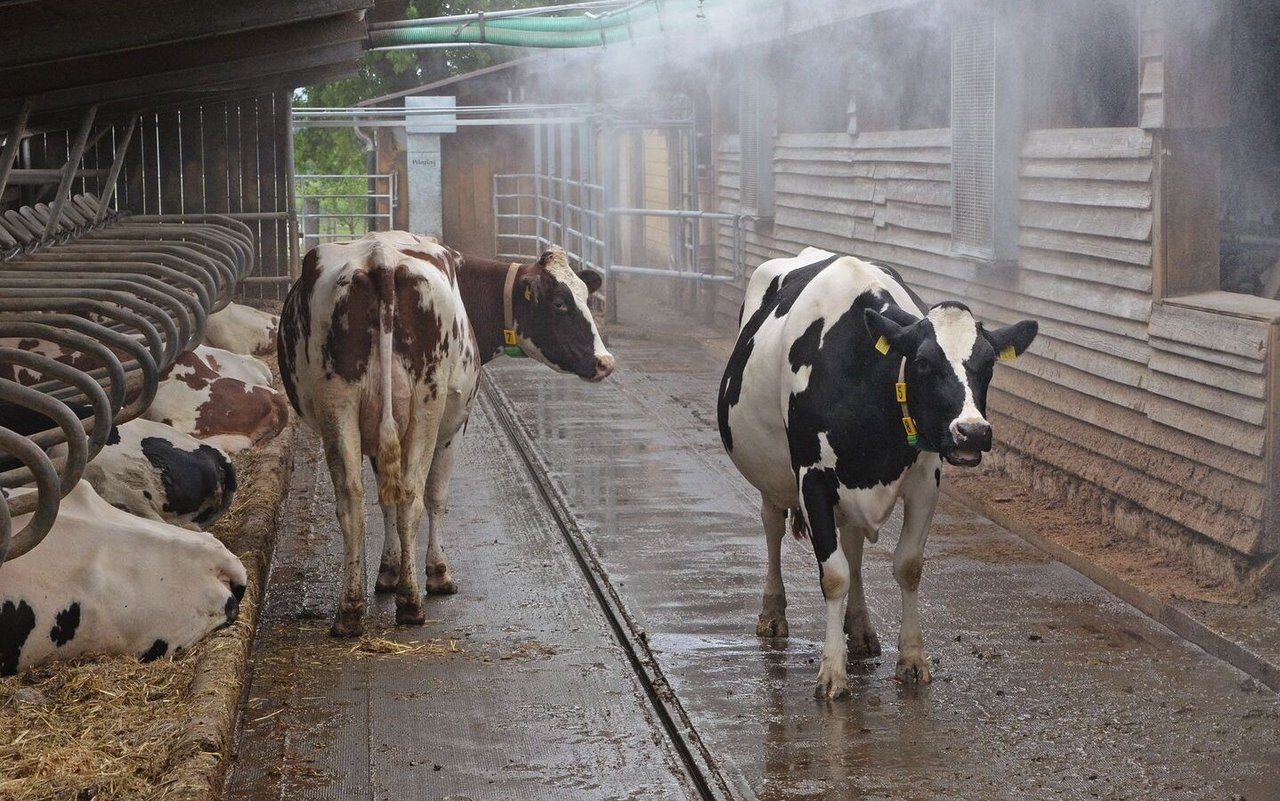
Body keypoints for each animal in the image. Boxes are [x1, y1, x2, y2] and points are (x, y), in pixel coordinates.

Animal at [279, 230, 614, 637]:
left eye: (585, 297)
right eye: (561, 304)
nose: (605, 362)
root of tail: (381, 258)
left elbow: (384, 501)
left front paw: (388, 570)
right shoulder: (454, 426)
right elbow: (436, 497)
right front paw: (437, 573)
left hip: (338, 404)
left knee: (352, 500)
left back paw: (350, 610)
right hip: (426, 407)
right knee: (412, 496)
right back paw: (410, 603)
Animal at [716, 246, 1034, 696]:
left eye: (988, 364)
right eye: (922, 363)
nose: (972, 432)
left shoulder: (925, 479)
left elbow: (907, 566)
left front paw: (912, 659)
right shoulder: (811, 477)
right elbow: (833, 575)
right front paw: (832, 672)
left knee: (853, 546)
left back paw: (861, 627)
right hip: (772, 475)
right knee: (773, 527)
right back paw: (773, 613)